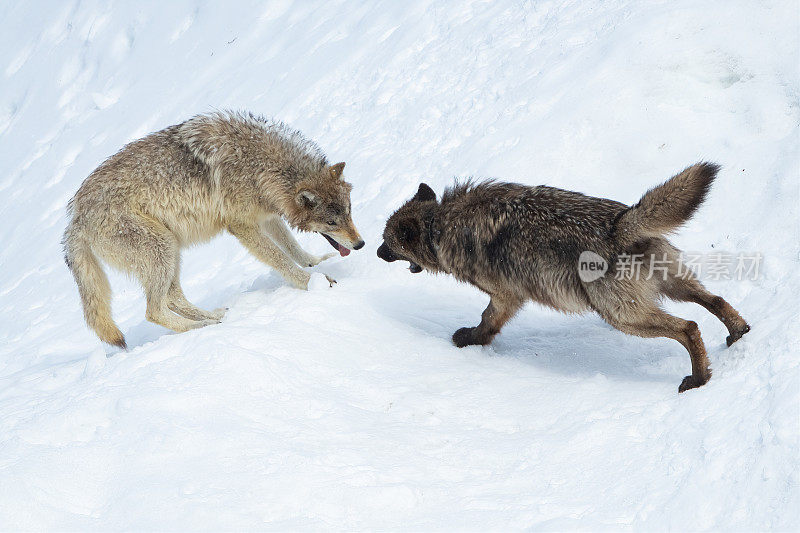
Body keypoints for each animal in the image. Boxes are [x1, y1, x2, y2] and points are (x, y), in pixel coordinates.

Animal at [65, 110, 366, 348]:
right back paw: (201, 328)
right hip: (162, 248)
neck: (258, 163)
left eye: (349, 212)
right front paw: (313, 282)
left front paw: (315, 263)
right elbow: (281, 260)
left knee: (172, 299)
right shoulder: (241, 225)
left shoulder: (266, 216)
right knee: (153, 310)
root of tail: (74, 219)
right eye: (331, 222)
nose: (361, 244)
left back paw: (215, 317)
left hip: (170, 250)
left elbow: (293, 247)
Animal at [376, 164, 752, 392]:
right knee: (715, 301)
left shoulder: (506, 296)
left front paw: (469, 339)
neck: (440, 225)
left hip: (622, 317)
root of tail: (619, 225)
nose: (375, 252)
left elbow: (486, 321)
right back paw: (738, 335)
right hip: (671, 287)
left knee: (689, 327)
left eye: (387, 242)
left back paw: (699, 379)